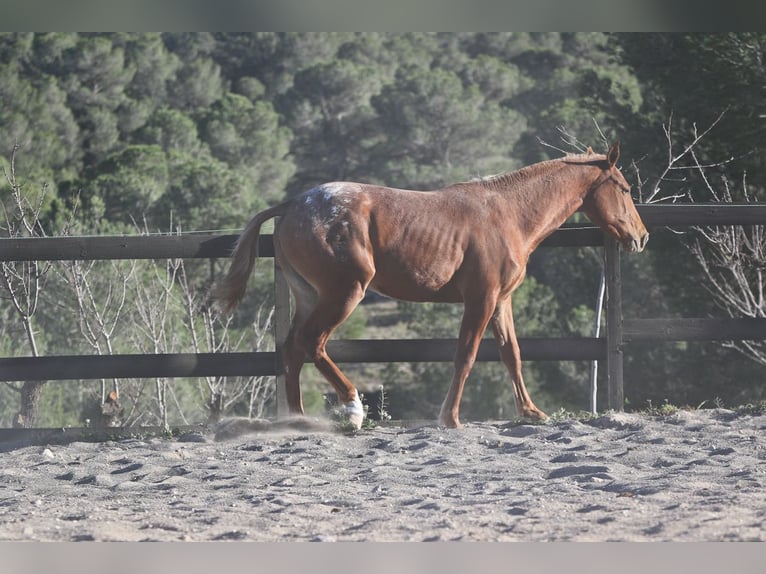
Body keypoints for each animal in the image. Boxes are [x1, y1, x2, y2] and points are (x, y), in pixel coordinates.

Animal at [213, 142, 652, 430]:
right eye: (625, 188)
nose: (642, 237)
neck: (506, 213)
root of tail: (292, 205)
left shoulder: (501, 302)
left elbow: (512, 354)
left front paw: (531, 412)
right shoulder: (480, 299)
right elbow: (466, 355)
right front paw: (451, 418)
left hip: (310, 296)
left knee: (291, 349)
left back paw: (298, 420)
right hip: (345, 293)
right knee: (312, 343)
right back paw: (353, 408)